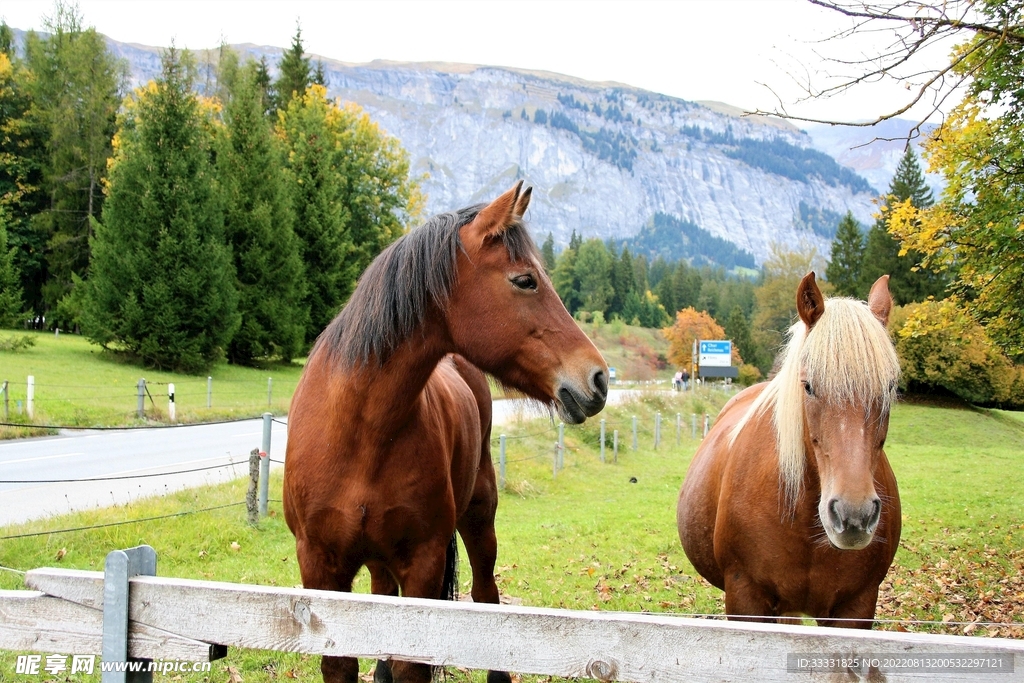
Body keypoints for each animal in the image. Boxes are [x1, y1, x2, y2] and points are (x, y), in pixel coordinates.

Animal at [284, 182, 608, 683]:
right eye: (525, 280)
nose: (599, 379)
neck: (359, 431)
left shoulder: (423, 562)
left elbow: (413, 662)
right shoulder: (319, 566)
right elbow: (341, 662)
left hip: (479, 516)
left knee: (485, 594)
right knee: (383, 596)